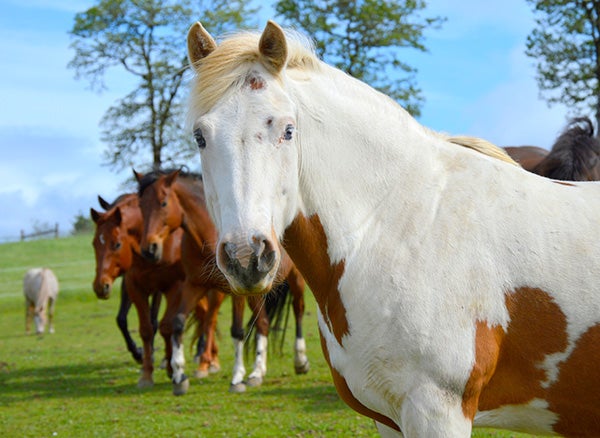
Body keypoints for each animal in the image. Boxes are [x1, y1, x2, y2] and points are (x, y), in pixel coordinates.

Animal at [90, 192, 185, 386]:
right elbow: (124, 321)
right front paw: (139, 355)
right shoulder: (131, 285)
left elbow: (156, 322)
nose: (100, 286)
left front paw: (161, 360)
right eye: (94, 244)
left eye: (117, 244)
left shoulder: (161, 288)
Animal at [136, 169, 310, 396]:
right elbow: (178, 323)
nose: (149, 249)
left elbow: (236, 331)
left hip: (295, 280)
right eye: (140, 205)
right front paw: (179, 376)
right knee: (263, 323)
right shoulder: (193, 286)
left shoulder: (236, 293)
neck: (206, 237)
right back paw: (257, 373)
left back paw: (300, 361)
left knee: (298, 310)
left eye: (163, 203)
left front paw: (236, 379)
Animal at [186, 21, 600, 438]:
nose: (246, 257)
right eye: (200, 136)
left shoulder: (438, 412)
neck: (395, 227)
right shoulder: (389, 418)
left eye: (288, 130)